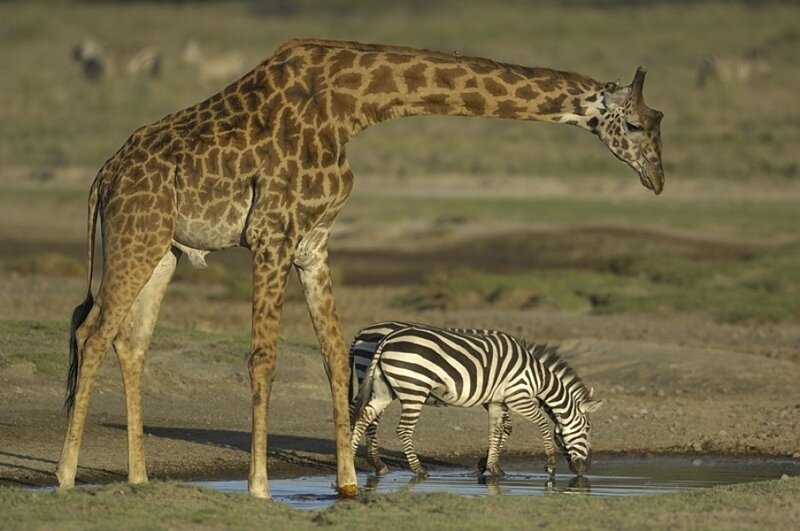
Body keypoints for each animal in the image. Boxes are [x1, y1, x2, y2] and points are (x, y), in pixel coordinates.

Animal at [350, 323, 602, 477]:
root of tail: (382, 338)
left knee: (363, 416)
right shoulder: (517, 397)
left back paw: (355, 459)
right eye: (588, 428)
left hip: (383, 387)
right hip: (413, 388)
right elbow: (537, 424)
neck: (537, 374)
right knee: (399, 428)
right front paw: (549, 465)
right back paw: (416, 469)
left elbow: (497, 430)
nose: (585, 469)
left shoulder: (496, 401)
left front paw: (492, 467)